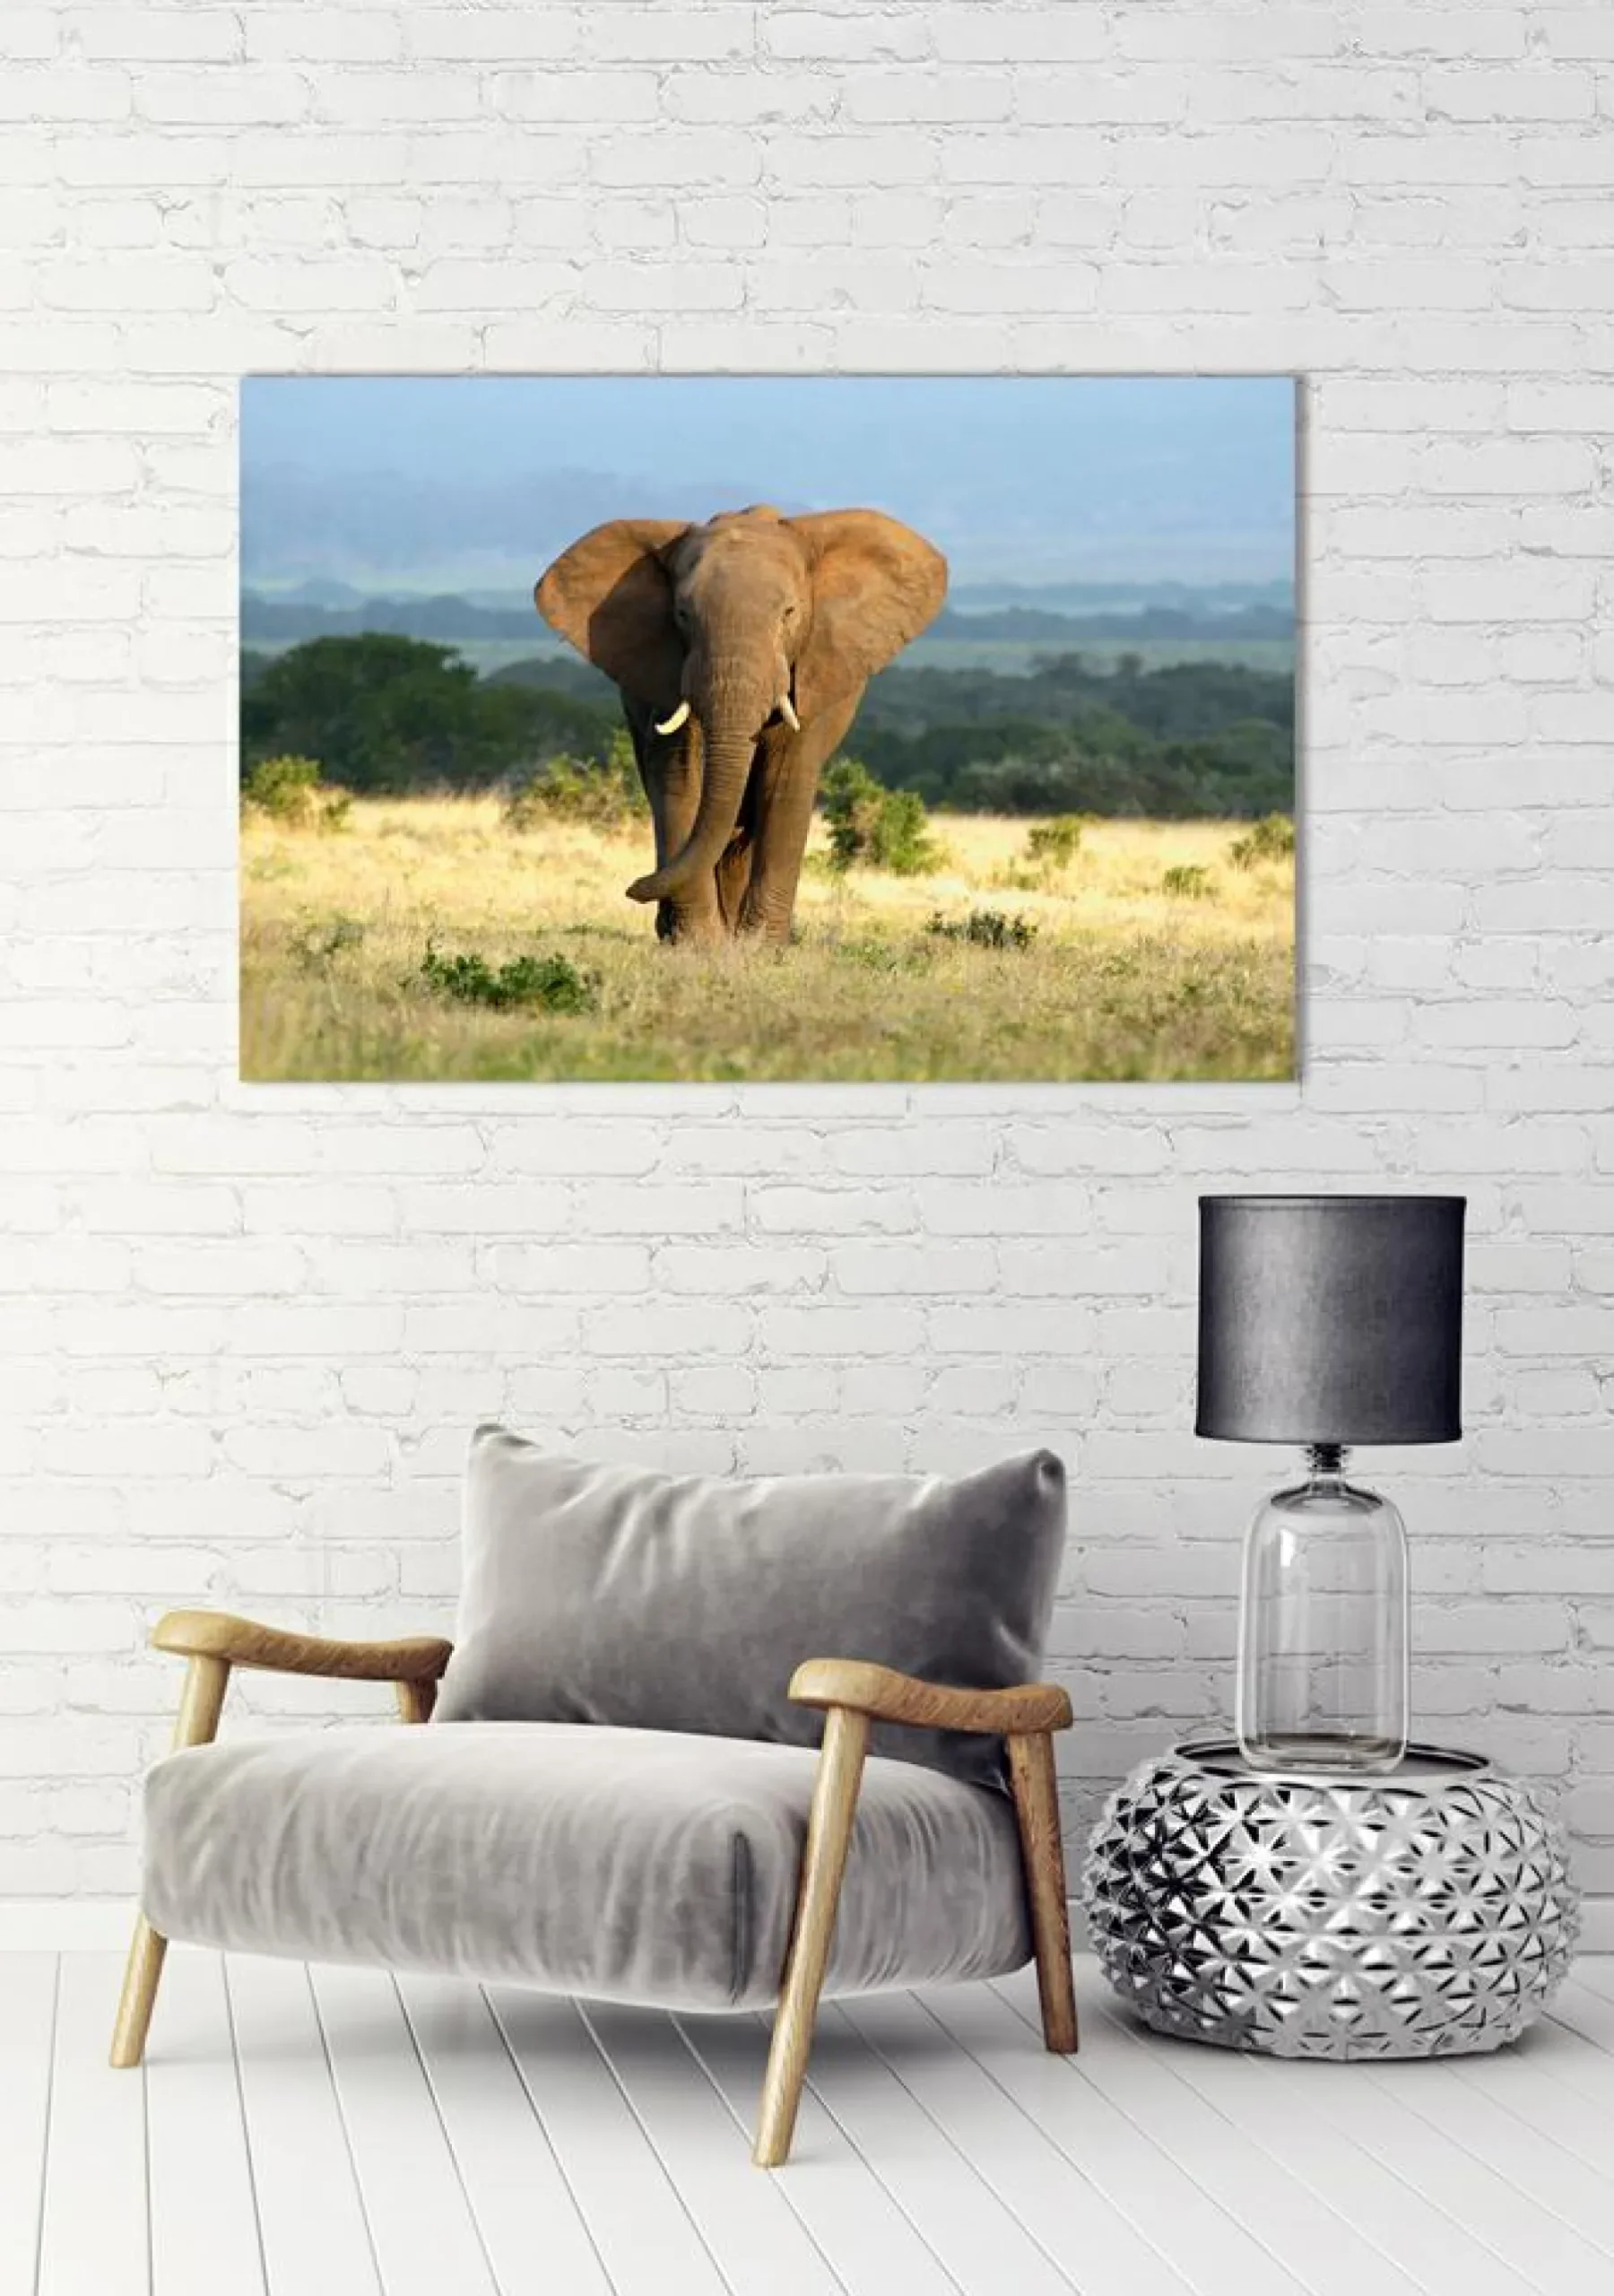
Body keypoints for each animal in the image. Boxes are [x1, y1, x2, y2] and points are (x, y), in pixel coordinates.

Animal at [534, 505, 947, 946]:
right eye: (683, 614)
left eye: (789, 613)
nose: (634, 887)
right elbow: (680, 778)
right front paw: (698, 943)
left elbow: (785, 783)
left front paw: (759, 947)